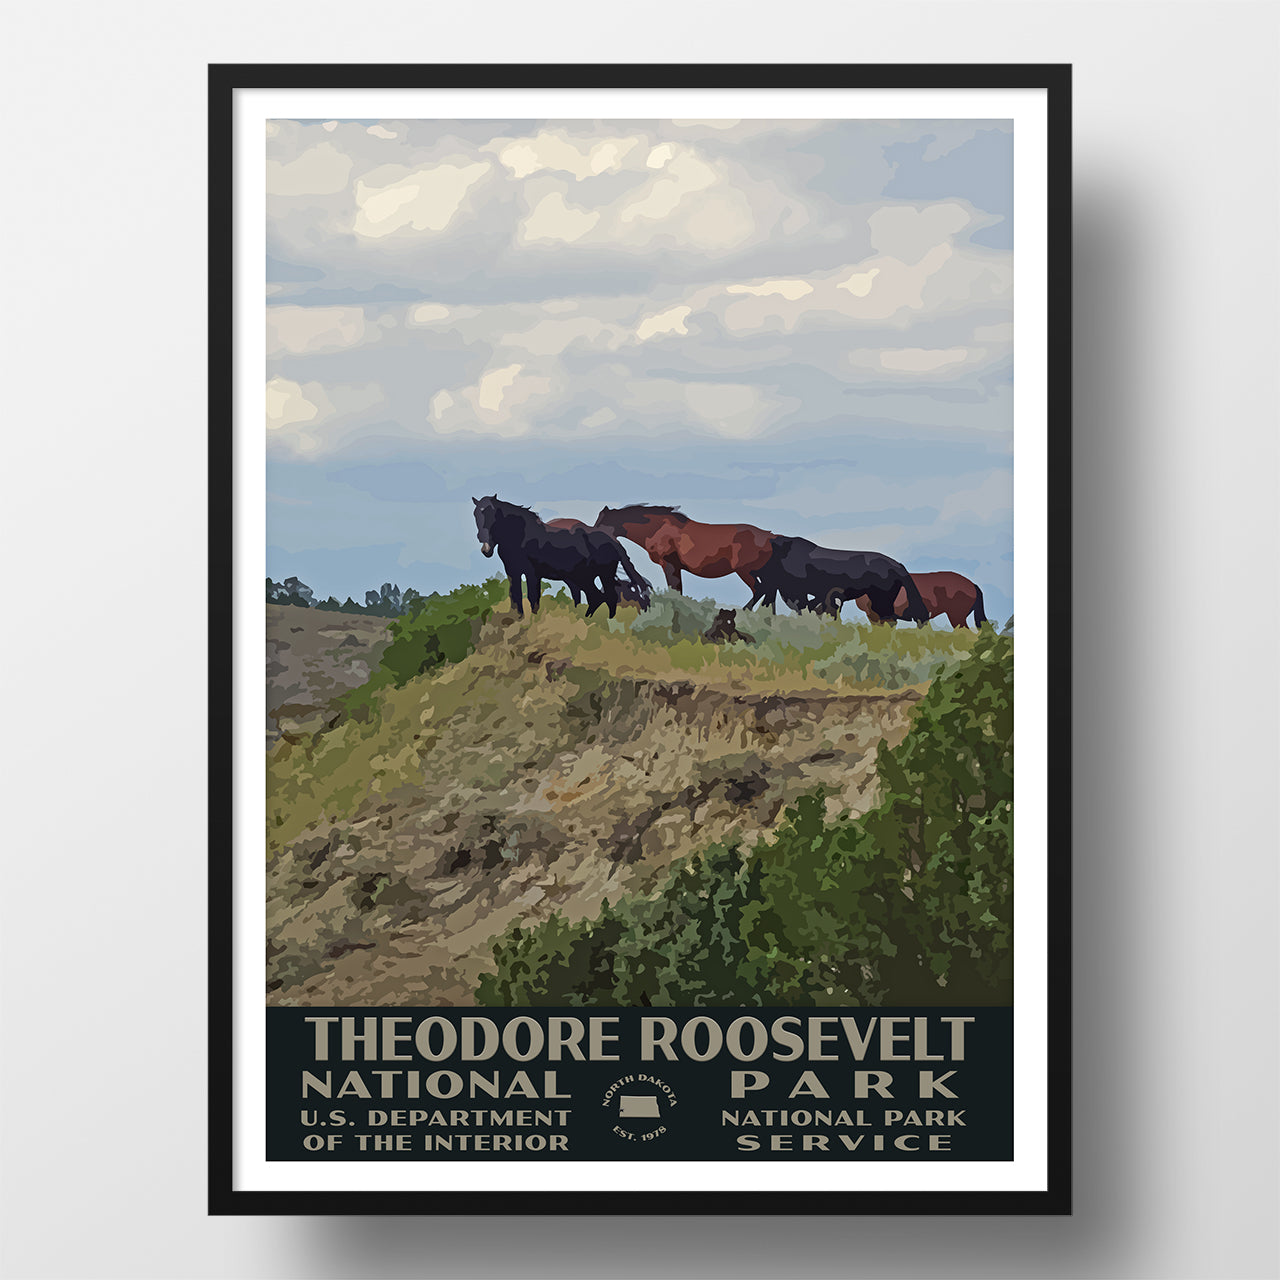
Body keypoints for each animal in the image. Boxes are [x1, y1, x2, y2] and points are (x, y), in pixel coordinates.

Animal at [471, 494, 650, 619]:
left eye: (493, 514)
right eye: (475, 515)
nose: (486, 549)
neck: (520, 537)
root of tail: (612, 540)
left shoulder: (532, 573)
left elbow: (532, 598)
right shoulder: (513, 572)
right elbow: (515, 598)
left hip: (599, 576)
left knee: (607, 598)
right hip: (585, 578)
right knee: (596, 598)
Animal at [593, 499, 773, 599]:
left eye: (601, 522)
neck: (658, 529)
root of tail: (769, 536)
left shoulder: (670, 566)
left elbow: (675, 591)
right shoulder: (676, 568)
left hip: (745, 572)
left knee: (759, 590)